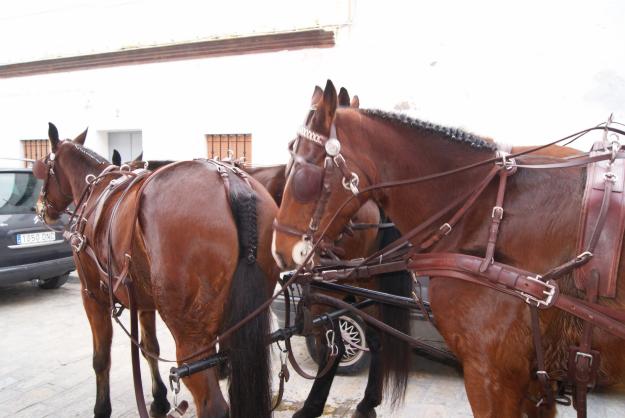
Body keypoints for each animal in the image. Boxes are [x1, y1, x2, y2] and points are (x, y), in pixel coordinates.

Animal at [34, 125, 276, 418]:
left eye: (45, 167)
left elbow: (101, 358)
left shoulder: (91, 295)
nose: (40, 208)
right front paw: (159, 399)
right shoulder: (144, 300)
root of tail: (232, 182)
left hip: (191, 336)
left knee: (213, 405)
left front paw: (102, 409)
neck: (95, 192)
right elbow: (150, 348)